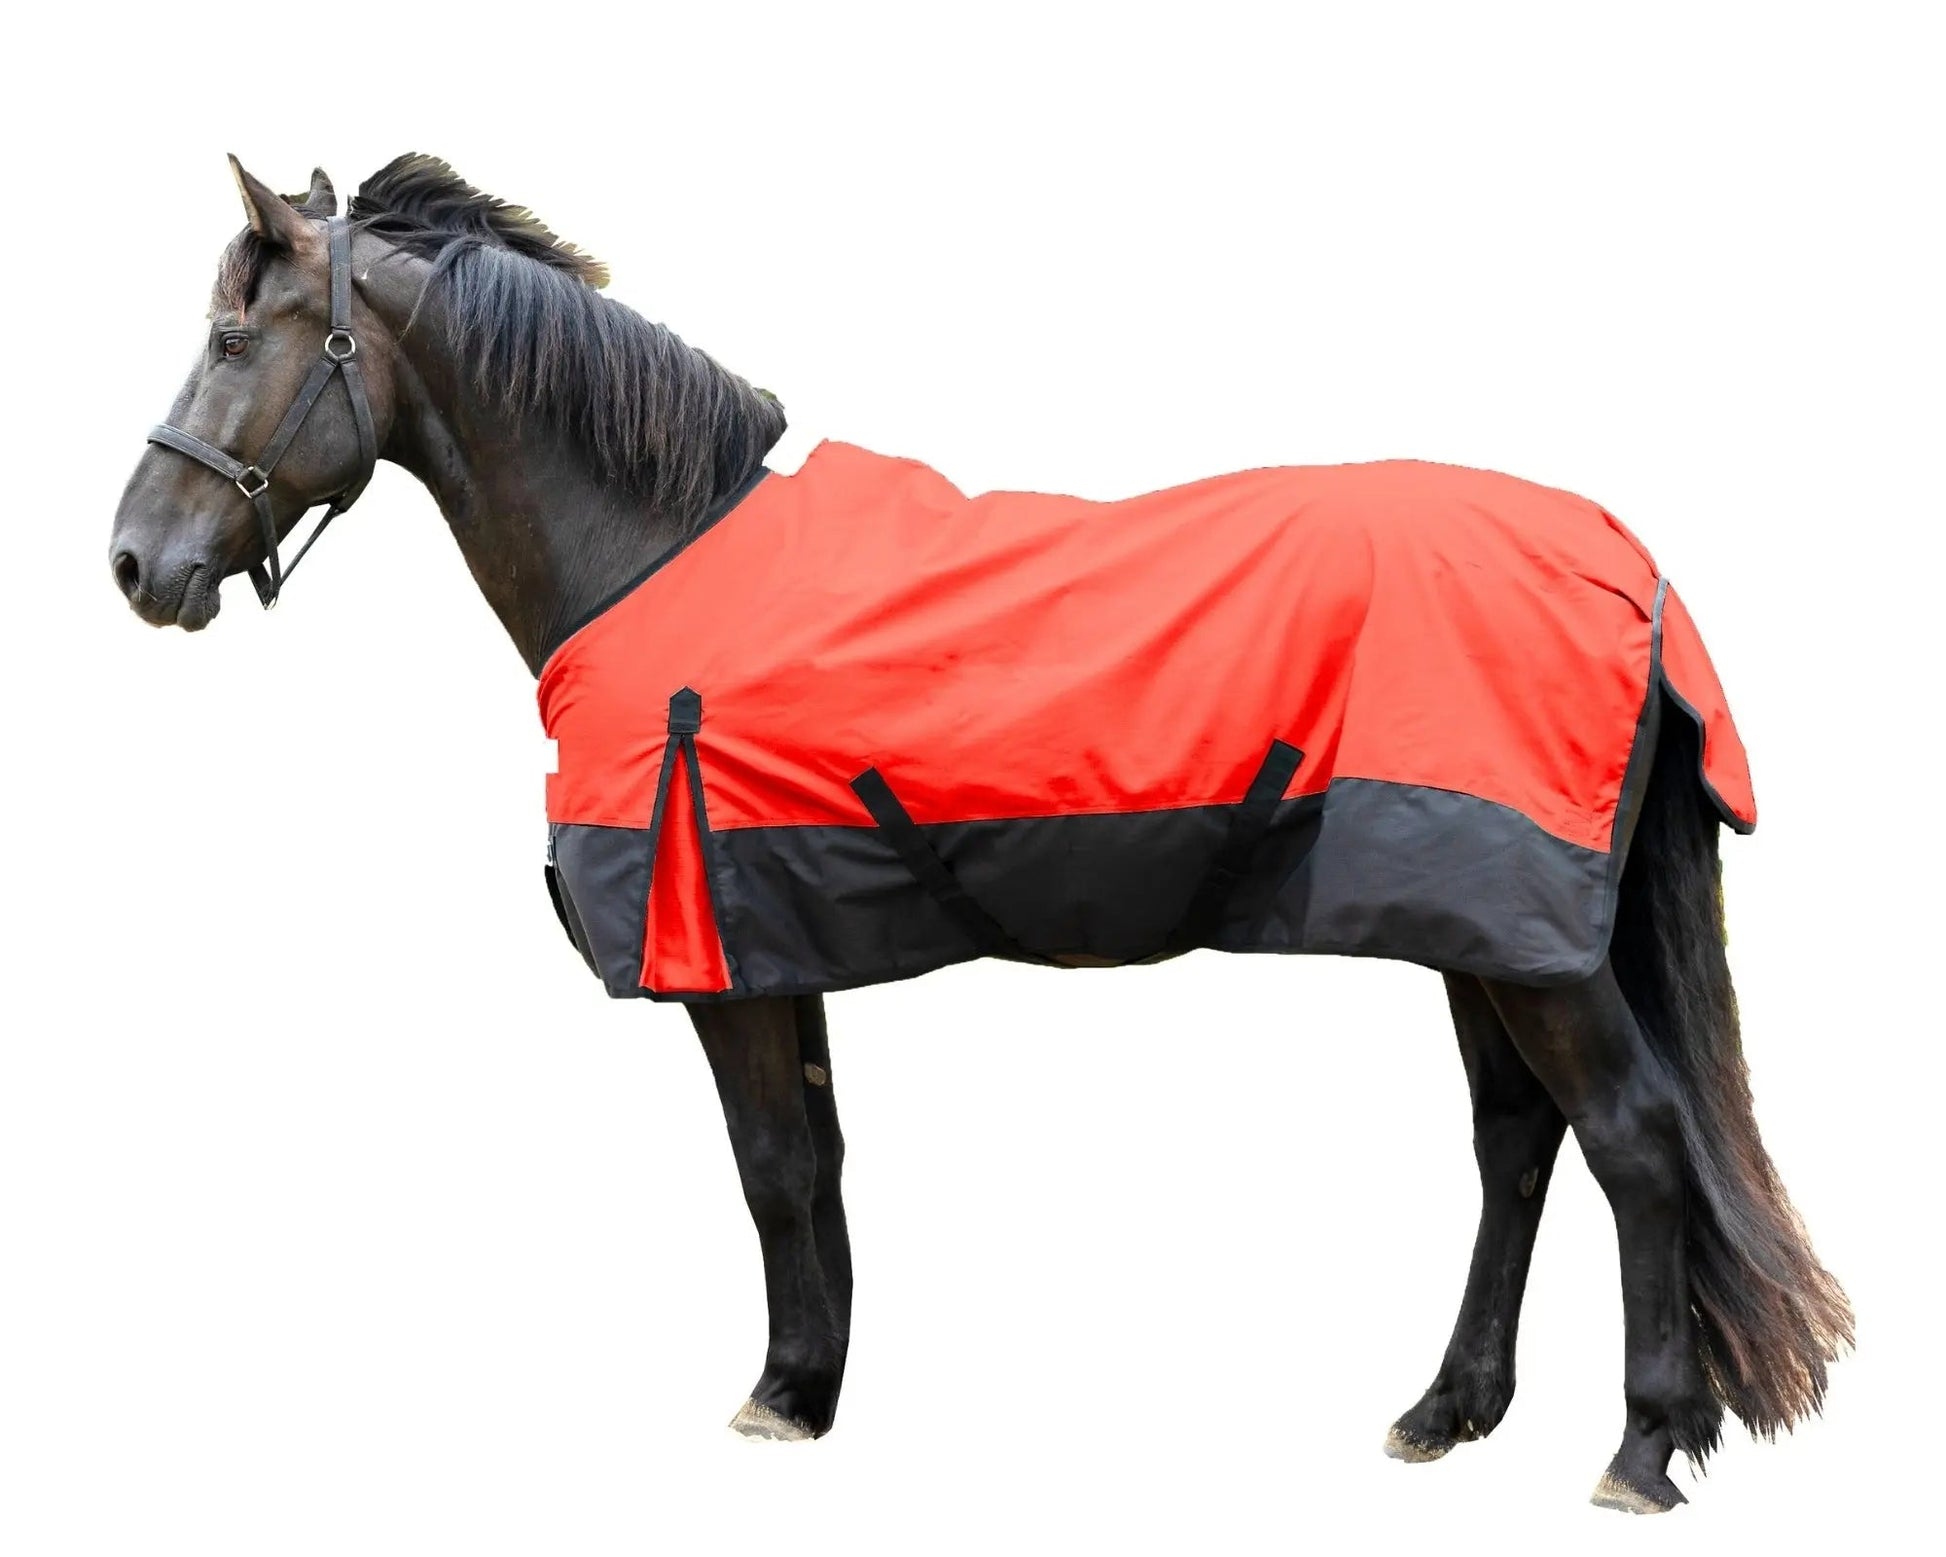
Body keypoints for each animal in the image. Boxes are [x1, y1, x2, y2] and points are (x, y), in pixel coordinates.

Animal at [107, 154, 1851, 1515]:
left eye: (230, 337)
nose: (133, 561)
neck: (656, 549)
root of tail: (1624, 562)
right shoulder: (773, 939)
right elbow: (812, 1162)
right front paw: (810, 1384)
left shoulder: (722, 955)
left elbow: (769, 1166)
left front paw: (776, 1398)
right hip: (1476, 930)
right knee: (1515, 1143)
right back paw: (1446, 1412)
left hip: (1532, 946)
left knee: (1632, 1141)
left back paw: (1638, 1448)